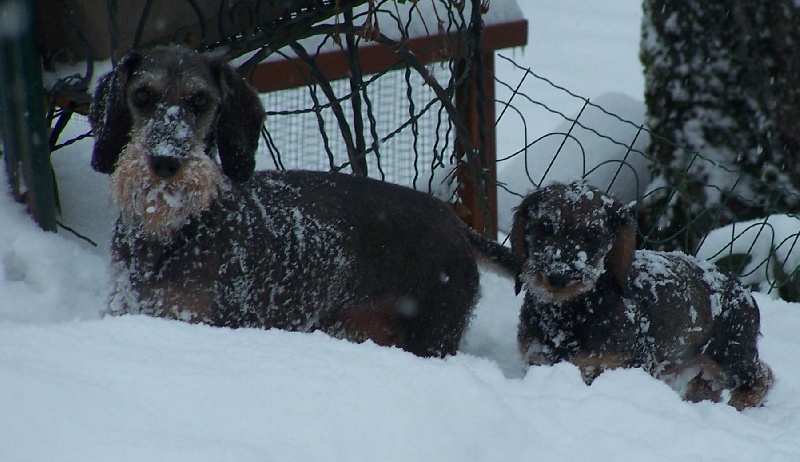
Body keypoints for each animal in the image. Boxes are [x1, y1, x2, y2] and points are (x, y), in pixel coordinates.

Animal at [87, 46, 516, 358]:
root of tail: (455, 222)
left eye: (200, 101)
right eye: (142, 95)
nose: (165, 161)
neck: (169, 235)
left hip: (431, 336)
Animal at [512, 180, 768, 408]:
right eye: (545, 226)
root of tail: (743, 292)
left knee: (761, 379)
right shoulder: (538, 359)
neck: (573, 311)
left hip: (729, 359)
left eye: (592, 233)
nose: (558, 276)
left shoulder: (625, 365)